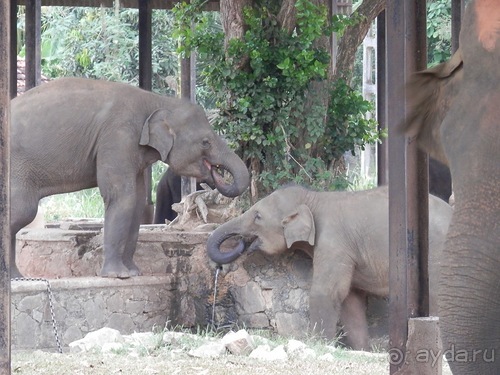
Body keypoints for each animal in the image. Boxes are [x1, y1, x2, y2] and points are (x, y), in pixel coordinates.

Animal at [12, 78, 250, 280]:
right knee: (23, 211)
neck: (158, 101)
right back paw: (16, 277)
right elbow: (122, 197)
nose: (216, 175)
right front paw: (117, 275)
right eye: (205, 142)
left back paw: (15, 277)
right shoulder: (118, 136)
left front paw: (134, 272)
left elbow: (136, 203)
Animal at [207, 187, 454, 352]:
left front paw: (318, 344)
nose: (240, 242)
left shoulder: (334, 241)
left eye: (258, 216)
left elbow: (327, 291)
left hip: (438, 250)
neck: (314, 198)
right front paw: (362, 350)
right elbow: (350, 299)